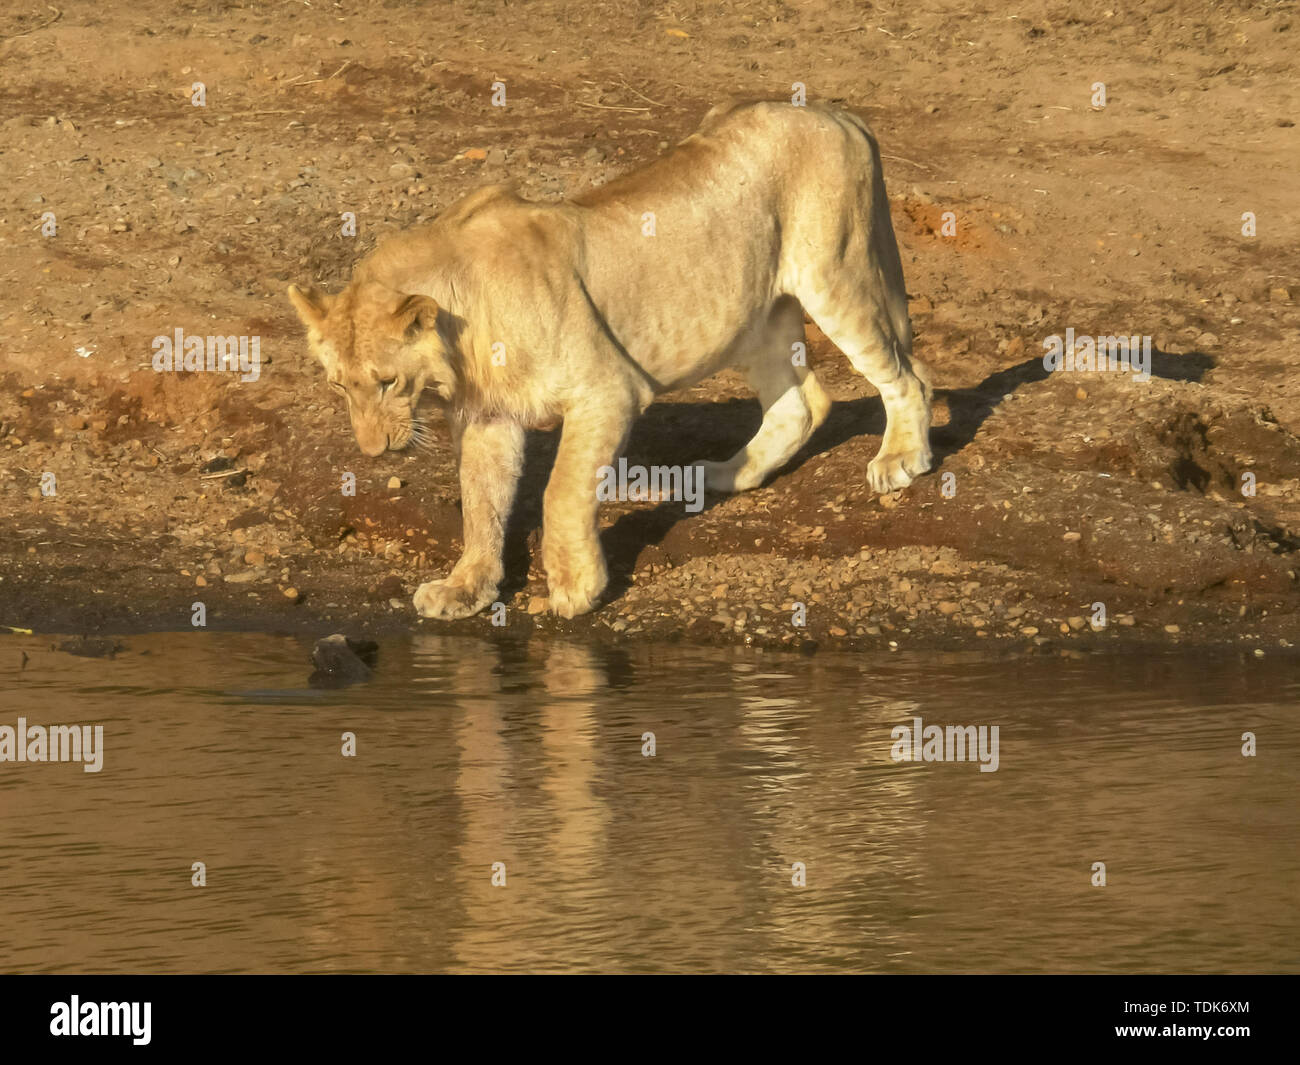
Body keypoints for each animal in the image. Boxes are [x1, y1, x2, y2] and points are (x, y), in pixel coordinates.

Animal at [288, 100, 932, 620]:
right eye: (339, 387)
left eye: (387, 381)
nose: (372, 452)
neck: (463, 333)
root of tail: (836, 112)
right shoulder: (488, 418)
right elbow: (481, 504)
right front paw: (465, 588)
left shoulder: (607, 391)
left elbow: (561, 489)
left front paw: (575, 586)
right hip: (754, 314)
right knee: (803, 403)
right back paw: (727, 473)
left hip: (836, 273)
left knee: (908, 375)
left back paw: (899, 458)